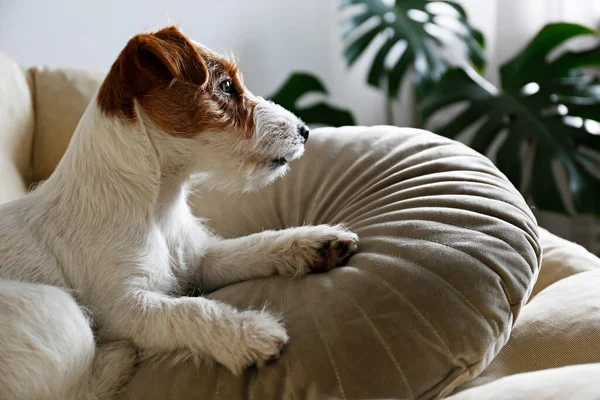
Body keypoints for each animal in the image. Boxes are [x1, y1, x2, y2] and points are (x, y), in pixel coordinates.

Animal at [0, 26, 356, 398]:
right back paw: (117, 356)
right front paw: (247, 332)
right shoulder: (125, 309)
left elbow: (255, 244)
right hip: (57, 308)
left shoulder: (201, 260)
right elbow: (190, 308)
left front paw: (315, 240)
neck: (158, 205)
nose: (305, 131)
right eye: (226, 86)